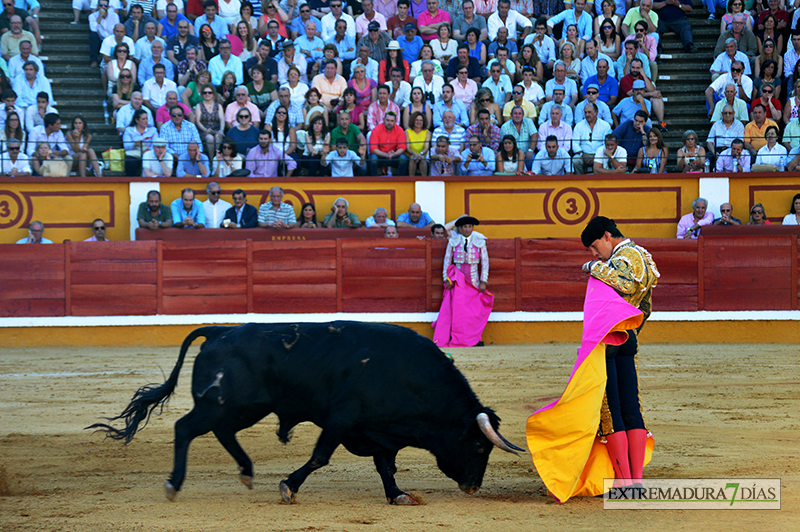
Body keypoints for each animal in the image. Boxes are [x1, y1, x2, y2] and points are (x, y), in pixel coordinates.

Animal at [89, 320, 524, 502]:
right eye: (480, 447)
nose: (473, 486)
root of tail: (218, 332)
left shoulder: (379, 432)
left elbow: (386, 467)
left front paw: (399, 495)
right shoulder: (342, 419)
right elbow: (319, 457)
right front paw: (288, 487)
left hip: (244, 408)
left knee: (222, 432)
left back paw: (247, 473)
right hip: (222, 404)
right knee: (184, 428)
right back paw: (174, 485)